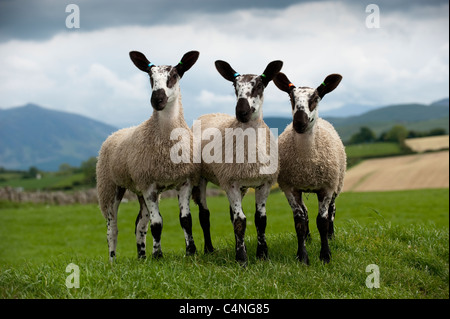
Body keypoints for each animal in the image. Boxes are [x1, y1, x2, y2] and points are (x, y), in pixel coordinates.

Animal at [97, 49, 200, 260]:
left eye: (174, 75)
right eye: (150, 77)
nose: (157, 100)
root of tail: (116, 132)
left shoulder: (184, 181)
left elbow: (185, 220)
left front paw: (191, 252)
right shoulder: (149, 185)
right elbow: (158, 223)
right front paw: (158, 255)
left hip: (138, 188)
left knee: (140, 224)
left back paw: (142, 257)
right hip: (110, 186)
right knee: (112, 228)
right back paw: (113, 260)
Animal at [192, 60, 284, 268]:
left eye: (260, 85)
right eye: (235, 86)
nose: (241, 111)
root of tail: (210, 113)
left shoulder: (264, 183)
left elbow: (260, 220)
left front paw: (262, 255)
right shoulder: (231, 182)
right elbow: (240, 221)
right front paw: (242, 259)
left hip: (241, 185)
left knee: (230, 213)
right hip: (201, 177)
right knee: (204, 215)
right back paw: (209, 249)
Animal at [272, 72, 346, 264]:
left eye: (315, 98)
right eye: (291, 97)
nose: (299, 122)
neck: (306, 162)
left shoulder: (326, 188)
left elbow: (323, 221)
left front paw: (325, 255)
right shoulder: (290, 188)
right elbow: (299, 222)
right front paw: (302, 256)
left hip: (337, 184)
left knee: (332, 211)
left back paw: (331, 237)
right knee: (305, 214)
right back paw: (309, 238)